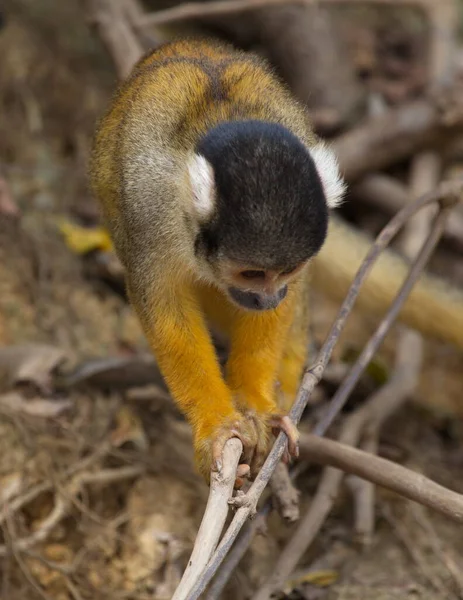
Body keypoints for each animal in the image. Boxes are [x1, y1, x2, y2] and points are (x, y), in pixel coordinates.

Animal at [89, 37, 344, 480]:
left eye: (286, 269)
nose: (268, 296)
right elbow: (166, 310)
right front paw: (217, 425)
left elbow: (277, 311)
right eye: (252, 273)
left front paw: (257, 404)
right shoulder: (150, 207)